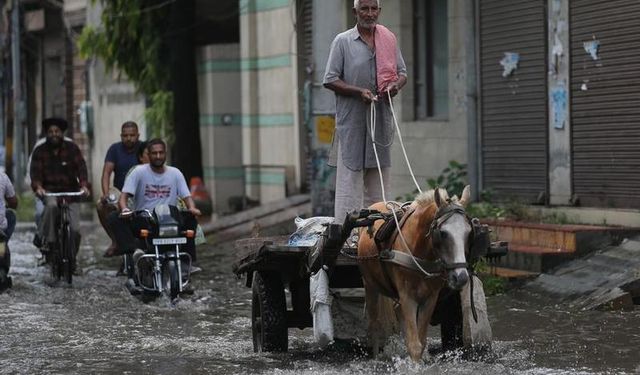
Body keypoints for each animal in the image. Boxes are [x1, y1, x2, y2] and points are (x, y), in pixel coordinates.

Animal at [358, 185, 472, 362]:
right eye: (443, 233)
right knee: (374, 325)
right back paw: (376, 357)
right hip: (370, 285)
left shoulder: (430, 298)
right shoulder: (407, 297)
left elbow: (421, 340)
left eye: (468, 232)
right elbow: (414, 344)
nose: (461, 277)